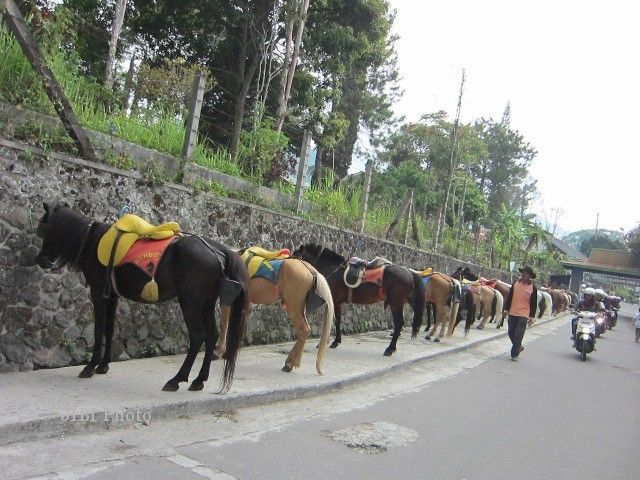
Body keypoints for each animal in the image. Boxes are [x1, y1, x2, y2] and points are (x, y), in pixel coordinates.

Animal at [34, 201, 250, 392]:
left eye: (43, 228)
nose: (40, 259)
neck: (92, 241)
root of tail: (217, 251)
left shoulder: (98, 293)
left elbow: (98, 329)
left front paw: (90, 367)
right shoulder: (111, 296)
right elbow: (109, 329)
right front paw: (103, 366)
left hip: (190, 303)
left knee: (197, 337)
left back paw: (176, 380)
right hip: (205, 303)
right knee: (212, 335)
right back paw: (199, 380)